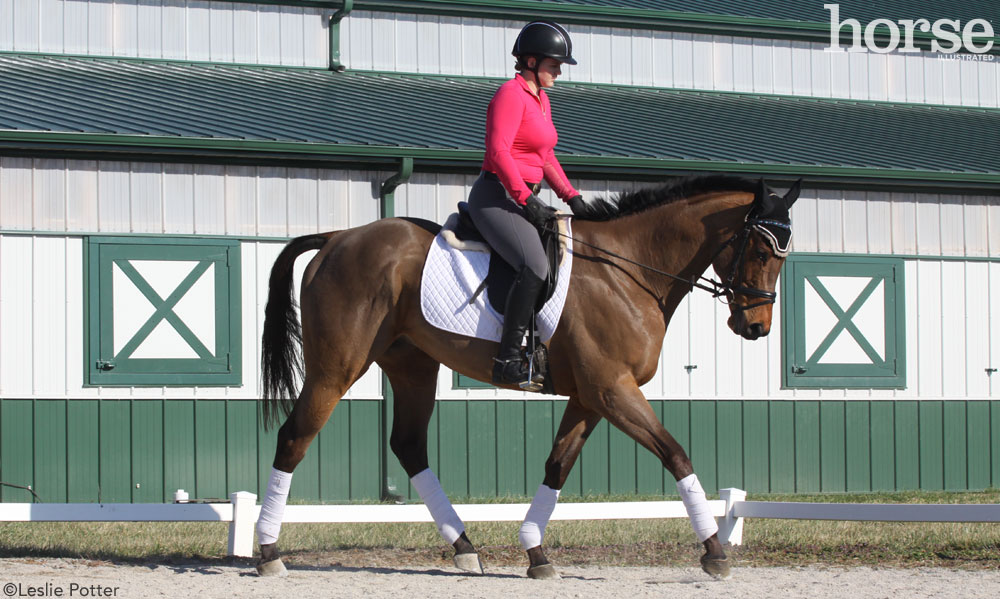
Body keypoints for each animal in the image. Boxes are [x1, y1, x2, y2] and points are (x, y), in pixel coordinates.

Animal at [254, 174, 800, 579]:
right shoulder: (613, 389)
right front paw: (713, 551)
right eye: (761, 251)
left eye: (783, 255)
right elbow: (675, 453)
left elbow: (557, 465)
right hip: (337, 367)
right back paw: (268, 552)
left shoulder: (590, 396)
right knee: (295, 436)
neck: (628, 271)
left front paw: (536, 553)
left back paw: (464, 547)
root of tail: (338, 238)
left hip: (412, 366)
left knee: (408, 446)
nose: (756, 327)